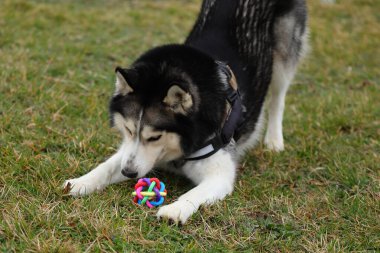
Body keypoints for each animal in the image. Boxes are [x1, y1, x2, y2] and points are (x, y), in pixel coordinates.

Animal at [63, 0, 308, 225]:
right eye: (129, 130)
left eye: (155, 137)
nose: (129, 173)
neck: (180, 149)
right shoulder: (130, 152)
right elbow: (106, 166)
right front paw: (81, 182)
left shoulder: (220, 174)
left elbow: (195, 192)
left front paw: (175, 210)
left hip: (284, 56)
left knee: (278, 99)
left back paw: (274, 140)